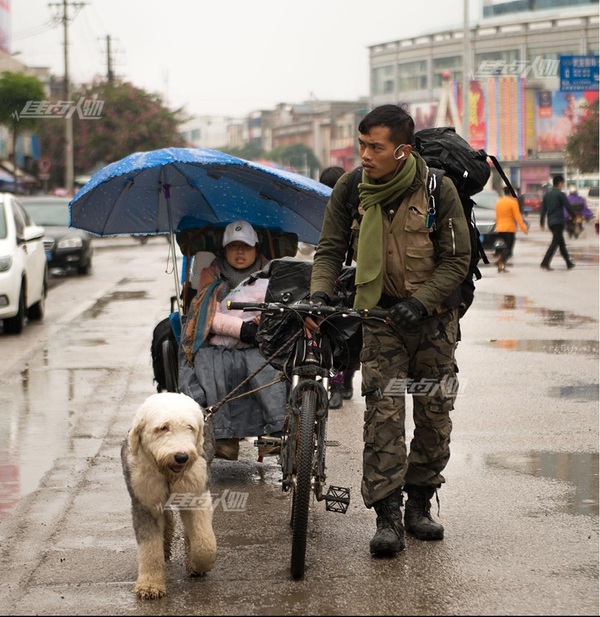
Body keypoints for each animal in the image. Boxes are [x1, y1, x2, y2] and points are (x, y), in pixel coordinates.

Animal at [120, 392, 217, 600]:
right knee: (166, 518)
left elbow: (204, 541)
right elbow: (149, 546)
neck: (167, 473)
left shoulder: (196, 494)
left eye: (189, 427)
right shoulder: (145, 501)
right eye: (163, 427)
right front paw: (150, 586)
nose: (181, 457)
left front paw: (198, 564)